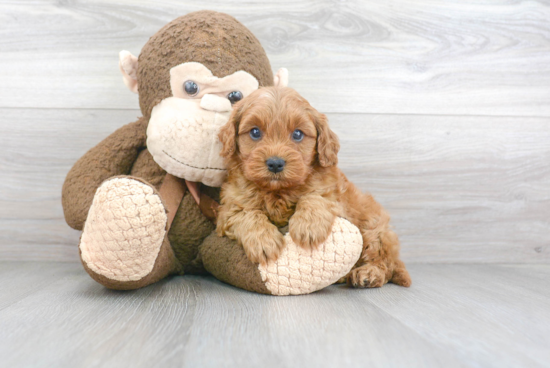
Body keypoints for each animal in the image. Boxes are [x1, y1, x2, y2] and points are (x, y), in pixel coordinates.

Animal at [218, 86, 412, 288]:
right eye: (255, 132)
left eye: (297, 134)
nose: (275, 163)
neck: (278, 191)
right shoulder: (229, 209)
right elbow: (246, 215)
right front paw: (264, 241)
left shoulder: (336, 198)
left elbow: (315, 197)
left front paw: (308, 228)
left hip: (374, 229)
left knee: (385, 262)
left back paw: (369, 274)